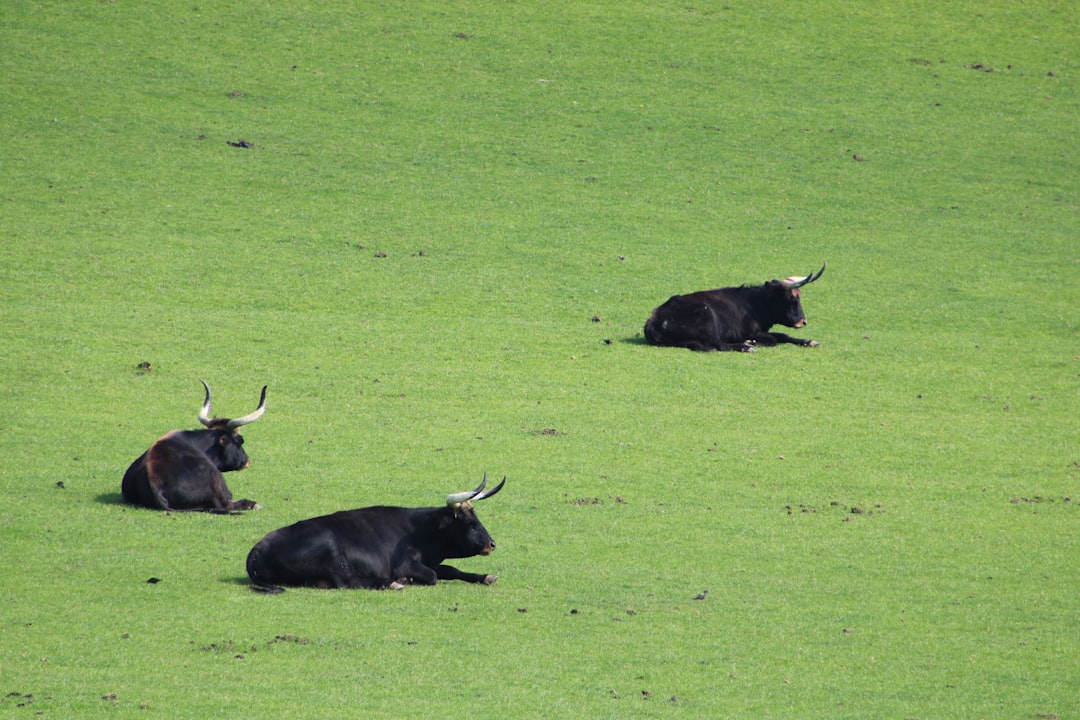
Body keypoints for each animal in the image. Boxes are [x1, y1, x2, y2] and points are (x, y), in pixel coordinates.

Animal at [246, 475, 506, 593]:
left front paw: (486, 577)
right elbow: (432, 575)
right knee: (348, 582)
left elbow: (452, 570)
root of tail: (257, 549)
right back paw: (394, 583)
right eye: (470, 523)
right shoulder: (406, 564)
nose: (491, 544)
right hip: (331, 550)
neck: (419, 531)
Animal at [644, 263, 826, 352]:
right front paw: (750, 342)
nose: (802, 321)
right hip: (708, 318)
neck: (754, 304)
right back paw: (746, 347)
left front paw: (808, 341)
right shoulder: (751, 332)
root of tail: (654, 319)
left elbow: (782, 335)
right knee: (717, 345)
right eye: (790, 299)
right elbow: (773, 339)